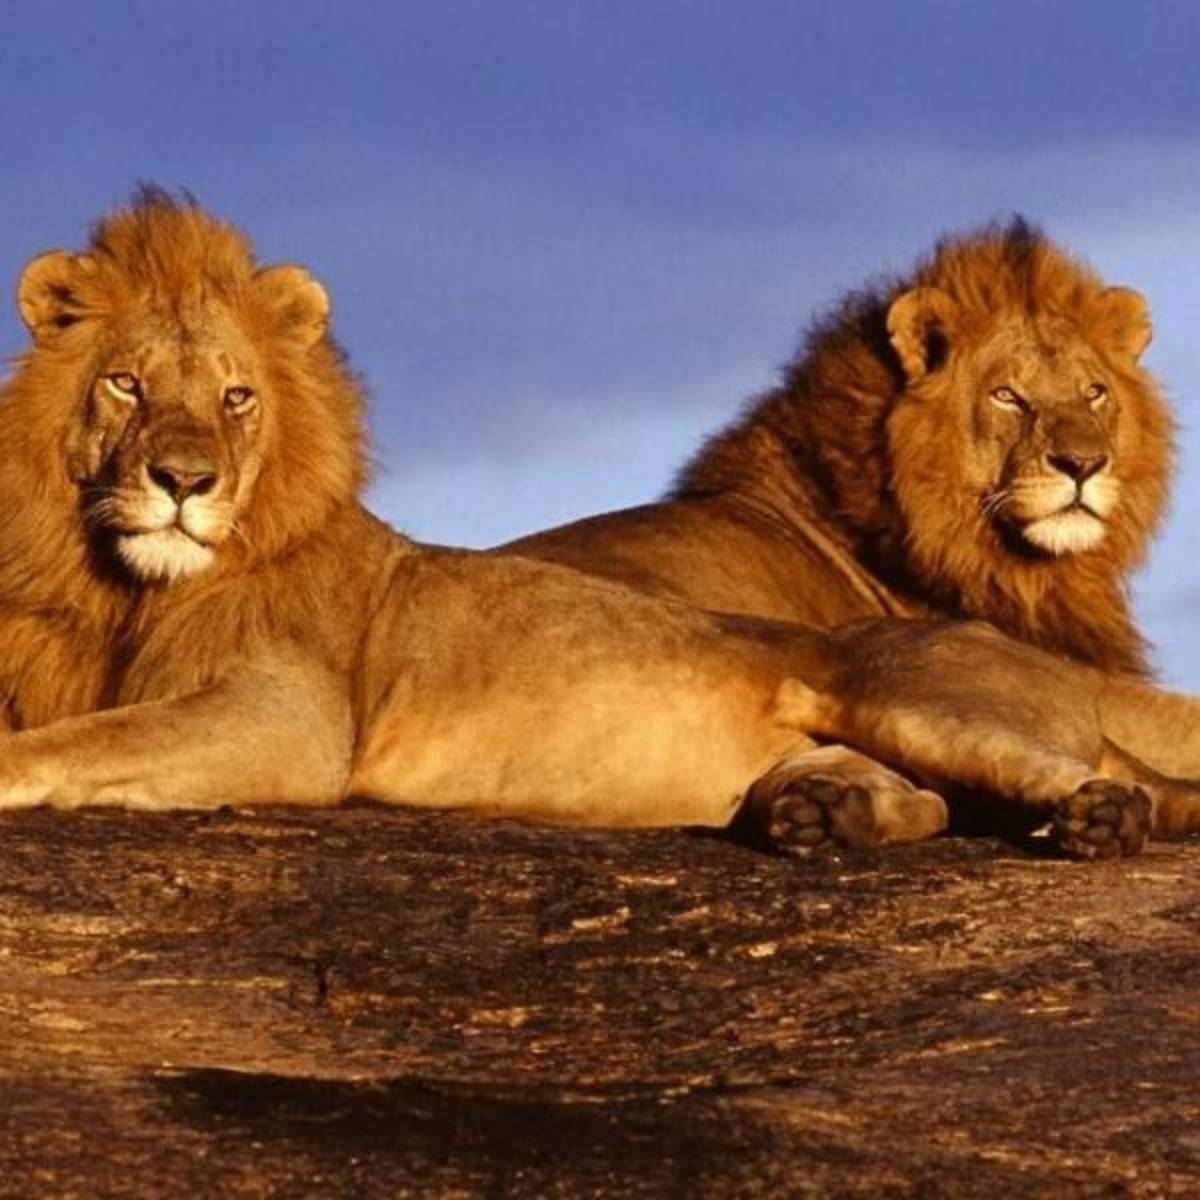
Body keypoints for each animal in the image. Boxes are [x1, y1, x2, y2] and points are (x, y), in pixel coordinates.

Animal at [0, 190, 1197, 861]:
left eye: (237, 397)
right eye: (124, 384)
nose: (181, 479)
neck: (128, 586)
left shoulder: (287, 717)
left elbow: (87, 741)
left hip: (919, 697)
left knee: (1121, 786)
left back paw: (1093, 822)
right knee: (926, 799)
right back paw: (823, 819)